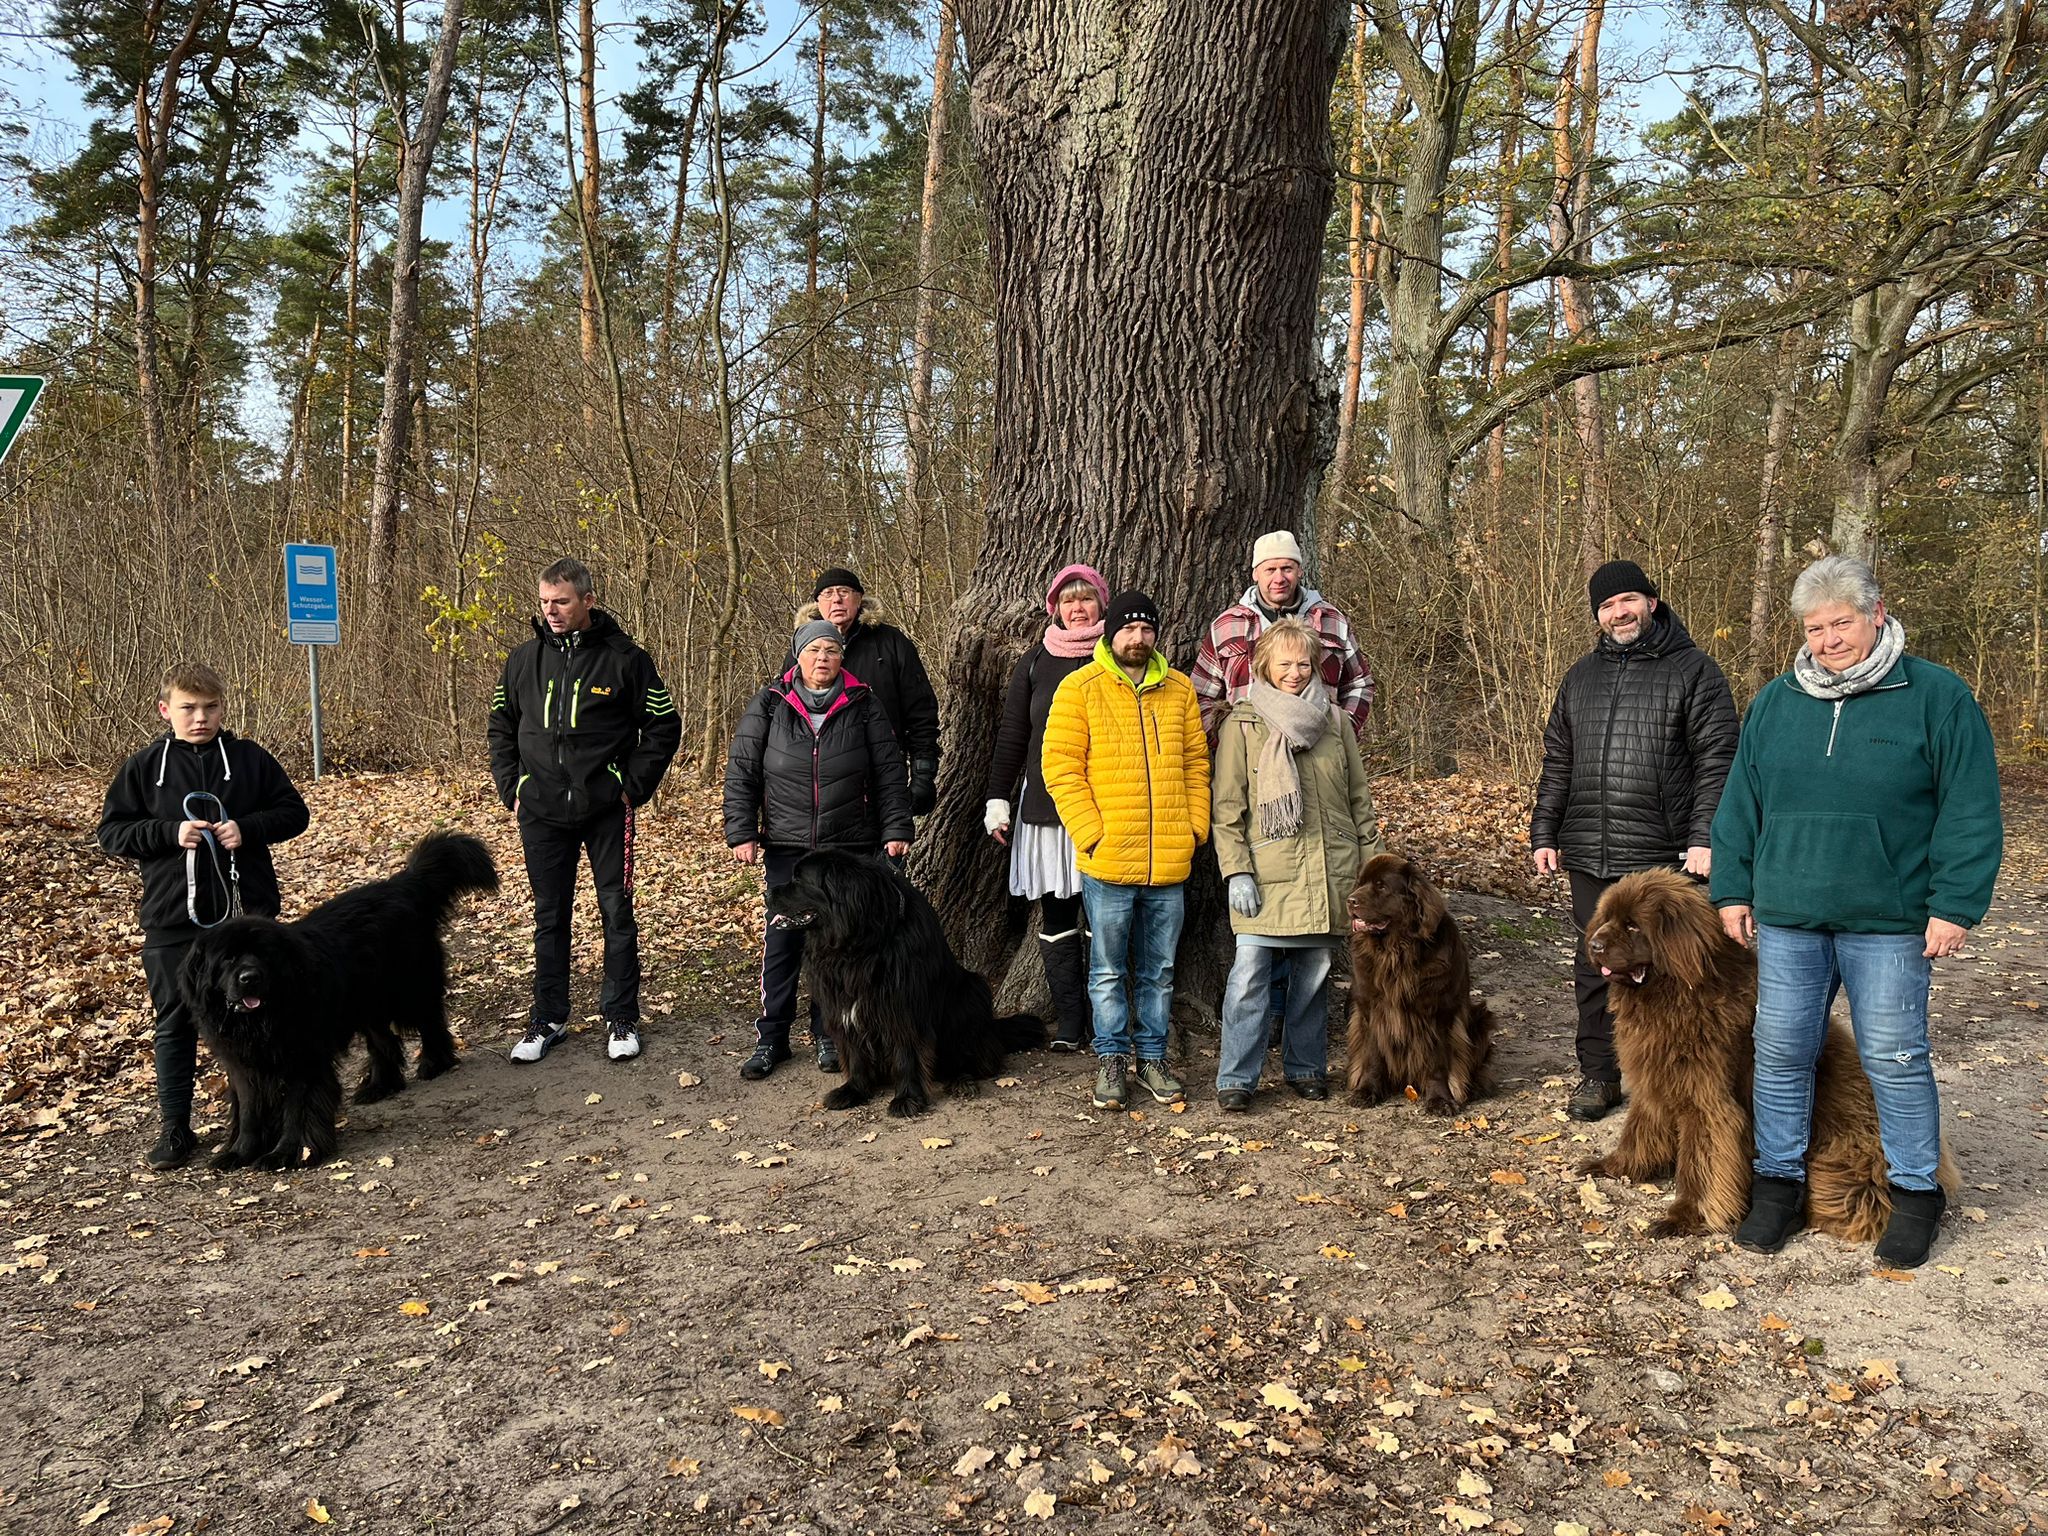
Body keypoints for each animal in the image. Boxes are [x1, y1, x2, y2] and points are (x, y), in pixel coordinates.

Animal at [186, 835, 501, 1171]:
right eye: (228, 958)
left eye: (263, 955)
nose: (249, 977)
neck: (260, 1021)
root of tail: (403, 884)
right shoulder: (242, 1064)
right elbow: (248, 1112)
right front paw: (239, 1153)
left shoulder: (303, 1059)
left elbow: (296, 1109)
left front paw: (286, 1154)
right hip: (368, 1003)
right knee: (385, 1043)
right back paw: (380, 1086)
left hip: (407, 991)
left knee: (430, 1022)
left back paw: (434, 1063)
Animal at [774, 856, 1048, 1122]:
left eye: (798, 879)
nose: (768, 893)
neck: (858, 946)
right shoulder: (843, 1009)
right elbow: (856, 1054)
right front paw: (854, 1090)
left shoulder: (902, 1010)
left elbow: (905, 1057)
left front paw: (907, 1099)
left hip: (973, 995)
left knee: (973, 1058)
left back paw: (961, 1081)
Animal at [1335, 856, 1499, 1122]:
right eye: (1360, 883)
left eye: (1381, 886)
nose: (1350, 900)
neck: (1396, 951)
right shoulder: (1371, 1011)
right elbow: (1373, 1055)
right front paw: (1366, 1091)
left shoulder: (1437, 1014)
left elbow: (1436, 1063)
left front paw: (1440, 1100)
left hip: (1480, 1018)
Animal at [1572, 872, 1957, 1245]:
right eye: (1606, 919)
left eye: (1633, 926)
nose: (1593, 945)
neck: (1679, 994)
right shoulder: (1656, 1082)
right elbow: (1639, 1131)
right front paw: (1613, 1166)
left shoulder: (1708, 1103)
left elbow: (1700, 1164)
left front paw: (1684, 1217)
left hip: (1840, 1159)